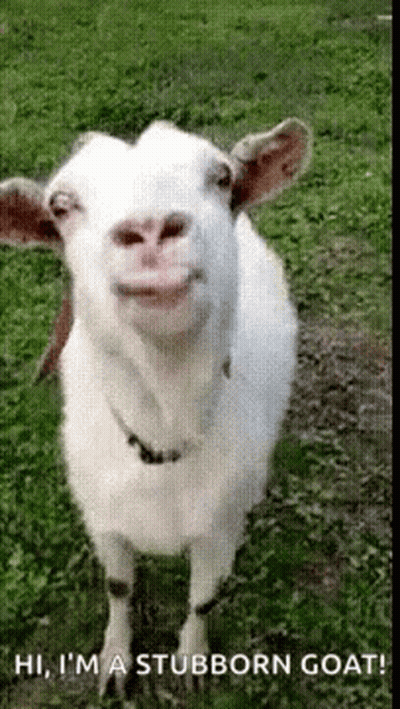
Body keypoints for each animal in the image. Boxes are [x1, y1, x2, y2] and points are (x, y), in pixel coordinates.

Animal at [0, 118, 311, 699]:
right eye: (61, 205)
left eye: (220, 177)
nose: (149, 229)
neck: (166, 428)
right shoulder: (104, 519)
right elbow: (119, 587)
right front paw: (116, 661)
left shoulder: (219, 527)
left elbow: (203, 598)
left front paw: (190, 659)